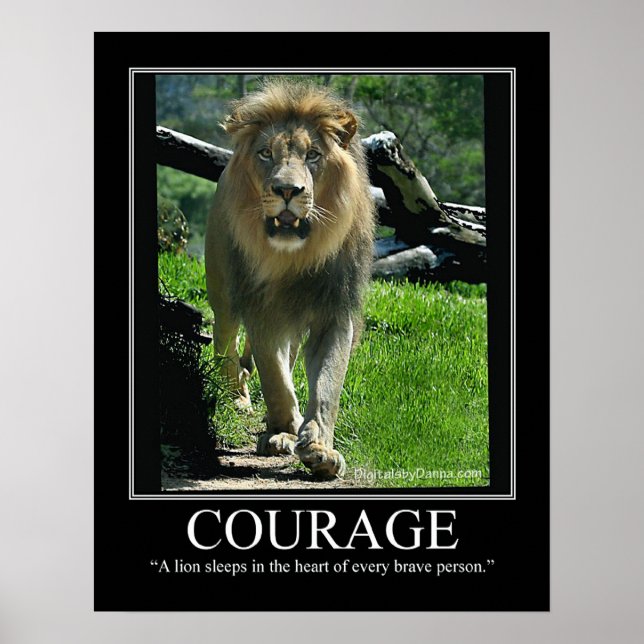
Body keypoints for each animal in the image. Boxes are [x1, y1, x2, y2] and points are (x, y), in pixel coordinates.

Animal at [205, 79, 375, 478]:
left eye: (312, 155)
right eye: (266, 153)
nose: (286, 190)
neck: (292, 258)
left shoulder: (334, 311)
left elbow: (327, 385)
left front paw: (320, 449)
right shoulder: (261, 309)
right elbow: (274, 377)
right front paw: (282, 431)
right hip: (223, 293)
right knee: (225, 342)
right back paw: (237, 397)